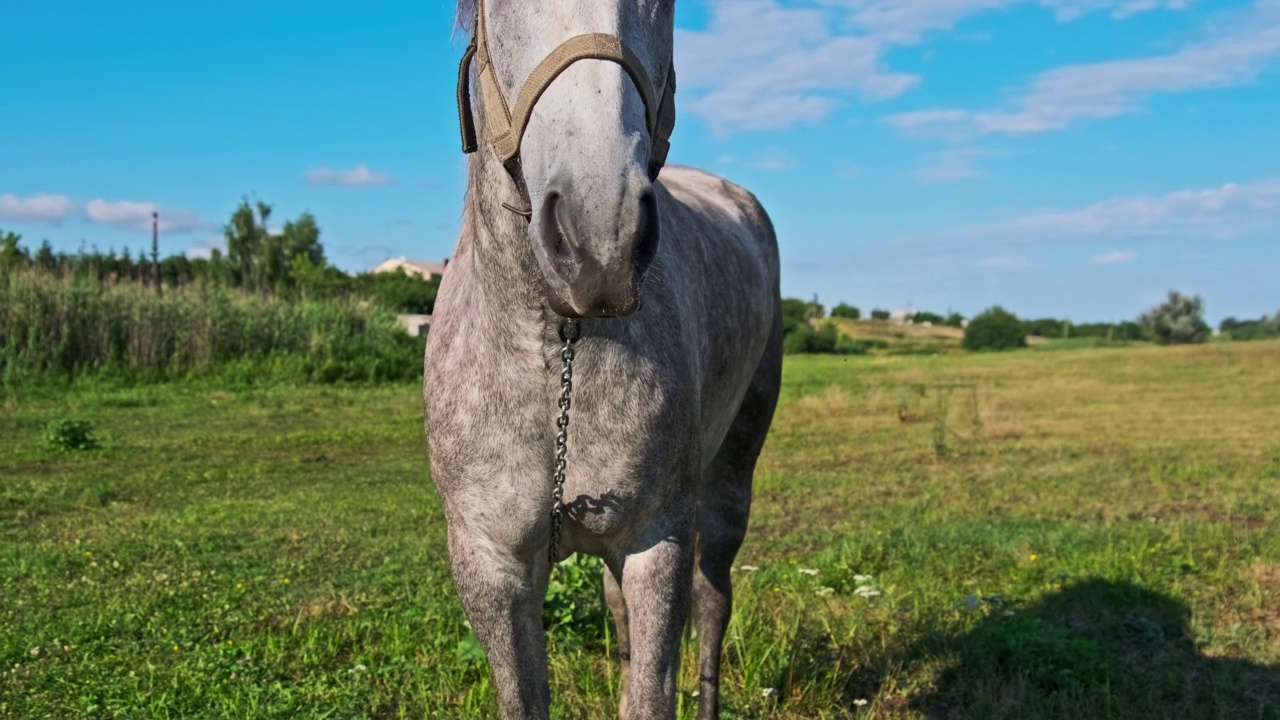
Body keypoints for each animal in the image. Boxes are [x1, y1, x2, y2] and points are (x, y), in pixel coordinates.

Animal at [422, 2, 778, 712]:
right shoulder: (491, 566)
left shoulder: (657, 543)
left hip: (732, 474)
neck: (558, 351)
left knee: (714, 600)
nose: (600, 238)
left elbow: (651, 692)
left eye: (664, 8)